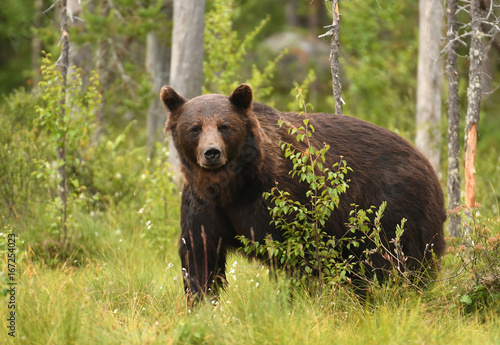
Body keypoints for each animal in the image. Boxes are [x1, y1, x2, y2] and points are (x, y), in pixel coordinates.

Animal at [160, 82, 446, 298]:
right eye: (194, 128)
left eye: (224, 126)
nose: (212, 153)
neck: (233, 187)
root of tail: (428, 165)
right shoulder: (204, 204)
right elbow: (200, 254)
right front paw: (201, 302)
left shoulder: (281, 199)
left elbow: (298, 254)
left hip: (393, 209)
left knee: (394, 261)